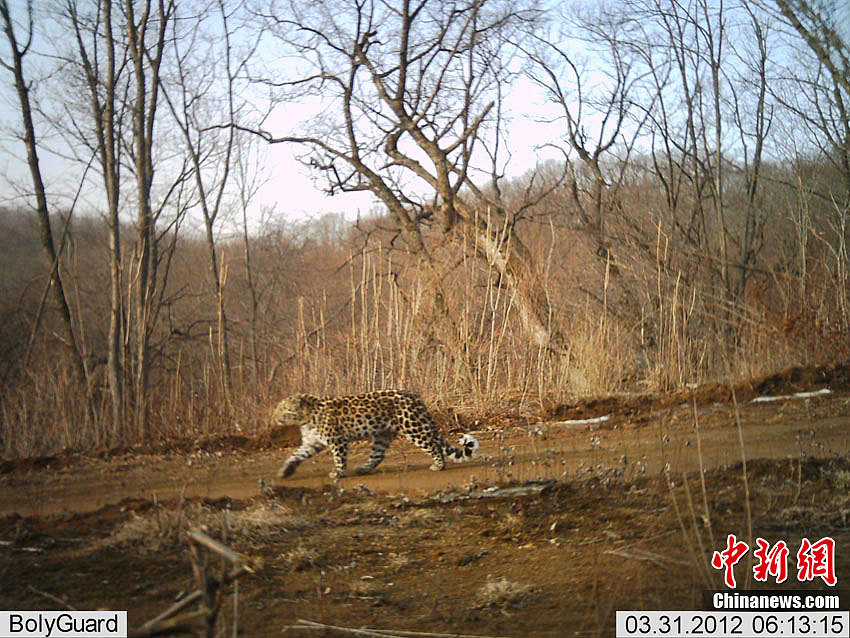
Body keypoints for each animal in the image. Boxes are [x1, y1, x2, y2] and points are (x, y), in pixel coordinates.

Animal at [274, 390, 480, 480]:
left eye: (284, 409)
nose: (275, 418)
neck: (305, 418)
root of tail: (415, 398)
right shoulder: (312, 443)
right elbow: (296, 455)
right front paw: (285, 471)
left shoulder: (337, 440)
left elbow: (339, 458)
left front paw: (338, 473)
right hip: (382, 434)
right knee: (378, 455)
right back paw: (363, 469)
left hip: (413, 427)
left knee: (433, 445)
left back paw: (438, 465)